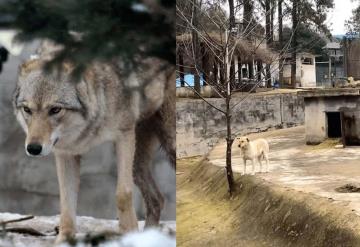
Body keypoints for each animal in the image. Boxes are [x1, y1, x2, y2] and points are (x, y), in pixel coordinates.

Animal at [11, 56, 174, 243]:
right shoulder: (66, 153)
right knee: (157, 199)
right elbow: (66, 204)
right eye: (27, 110)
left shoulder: (124, 136)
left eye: (55, 109)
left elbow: (123, 194)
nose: (33, 148)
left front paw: (129, 234)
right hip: (137, 165)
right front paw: (63, 240)